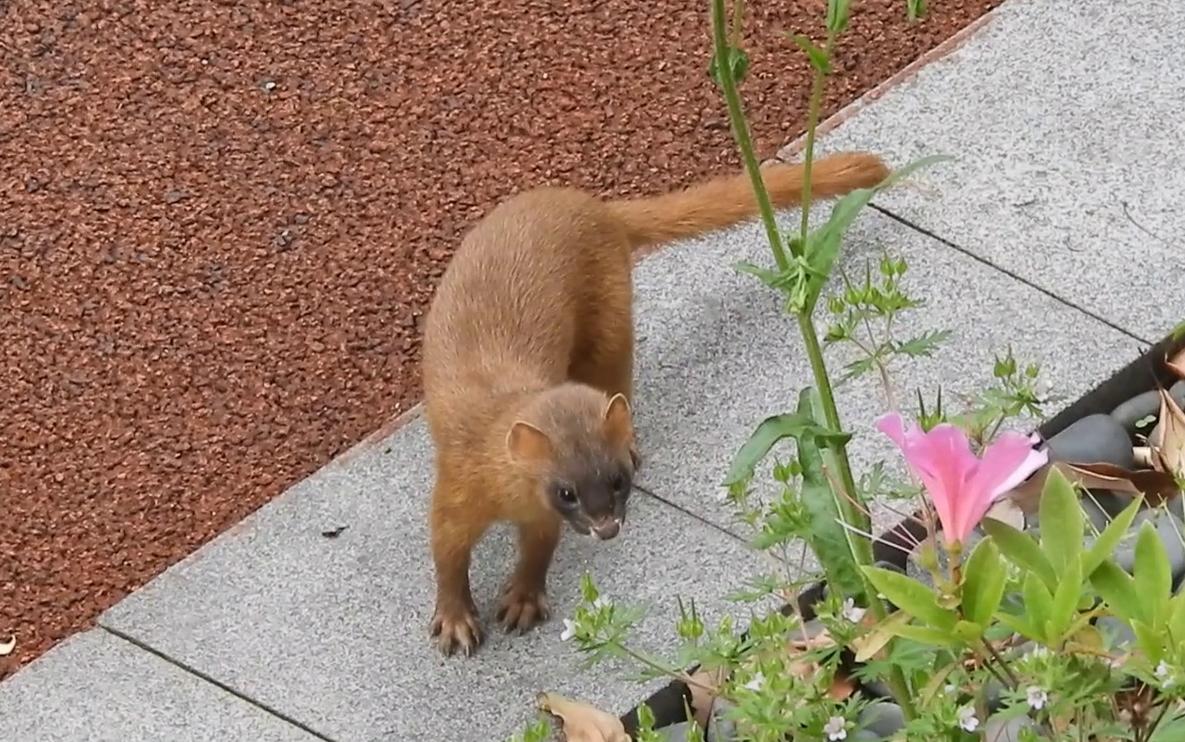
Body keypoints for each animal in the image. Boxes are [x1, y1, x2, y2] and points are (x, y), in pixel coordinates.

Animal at [421, 151, 891, 654]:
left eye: (618, 479)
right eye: (566, 490)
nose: (607, 527)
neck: (508, 500)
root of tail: (594, 205)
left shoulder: (542, 519)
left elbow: (537, 551)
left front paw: (524, 600)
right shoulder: (457, 487)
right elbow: (447, 553)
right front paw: (455, 622)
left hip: (613, 324)